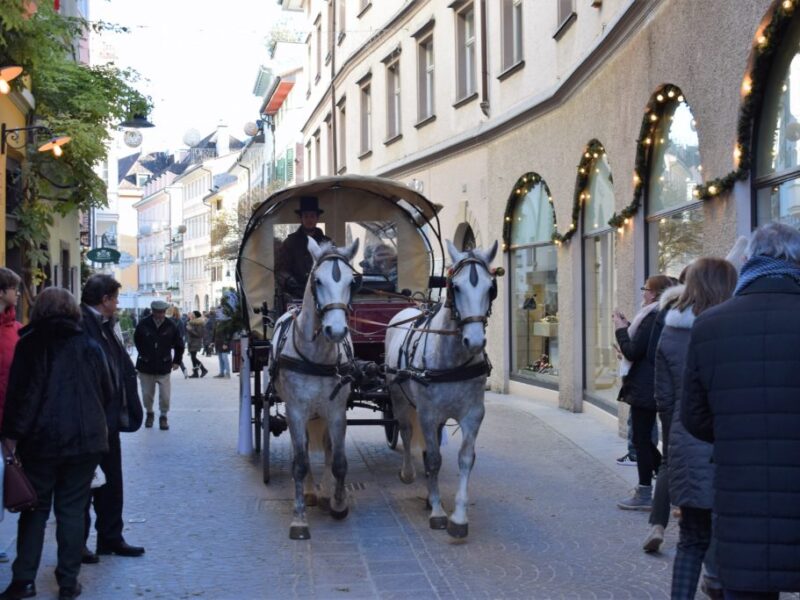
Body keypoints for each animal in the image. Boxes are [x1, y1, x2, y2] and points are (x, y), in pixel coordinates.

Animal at [272, 237, 360, 540]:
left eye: (352, 282)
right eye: (317, 280)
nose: (337, 330)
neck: (318, 354)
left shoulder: (336, 410)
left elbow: (339, 460)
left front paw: (338, 503)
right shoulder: (296, 410)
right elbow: (300, 463)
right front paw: (299, 518)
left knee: (327, 445)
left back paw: (323, 492)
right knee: (305, 449)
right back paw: (310, 491)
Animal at [384, 239, 496, 540]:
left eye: (491, 288)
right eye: (455, 287)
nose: (474, 341)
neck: (452, 358)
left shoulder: (473, 415)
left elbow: (465, 459)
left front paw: (458, 516)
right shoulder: (427, 413)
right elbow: (433, 459)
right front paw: (437, 512)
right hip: (400, 398)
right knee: (406, 431)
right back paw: (409, 473)